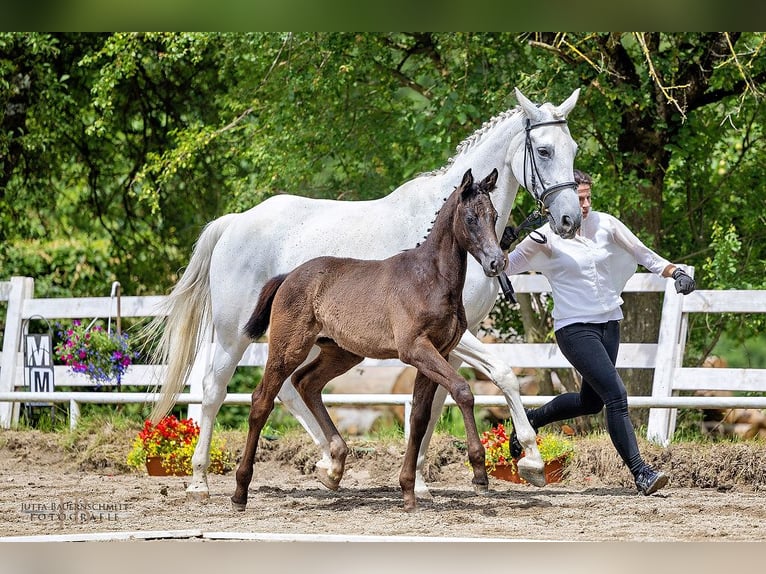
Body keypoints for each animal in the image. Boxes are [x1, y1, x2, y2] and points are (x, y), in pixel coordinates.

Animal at [234, 168, 510, 512]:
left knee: (306, 383)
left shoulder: (438, 353)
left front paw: (408, 491)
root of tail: (288, 276)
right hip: (288, 348)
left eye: (495, 216)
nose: (497, 263)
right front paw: (479, 474)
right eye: (471, 218)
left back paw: (335, 469)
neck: (430, 278)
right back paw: (240, 491)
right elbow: (463, 391)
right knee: (262, 400)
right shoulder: (416, 349)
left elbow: (419, 416)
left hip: (342, 353)